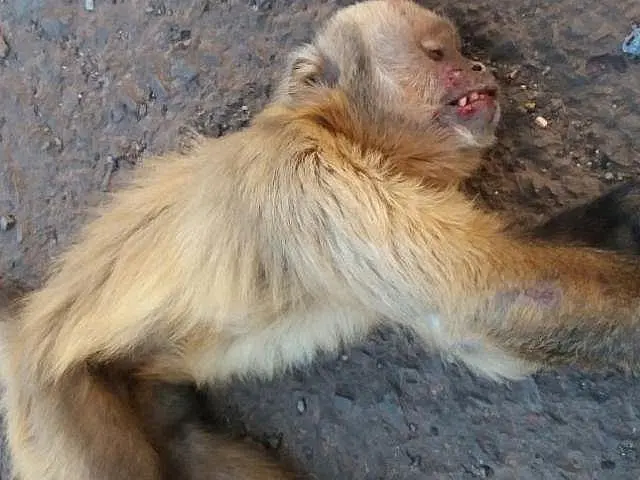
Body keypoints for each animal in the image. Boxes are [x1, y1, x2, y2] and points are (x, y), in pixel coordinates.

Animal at [3, 0, 640, 479]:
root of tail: (30, 324)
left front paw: (627, 211)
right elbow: (488, 305)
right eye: (440, 54)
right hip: (54, 403)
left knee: (183, 435)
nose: (480, 65)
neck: (348, 136)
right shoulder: (301, 175)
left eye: (461, 51)